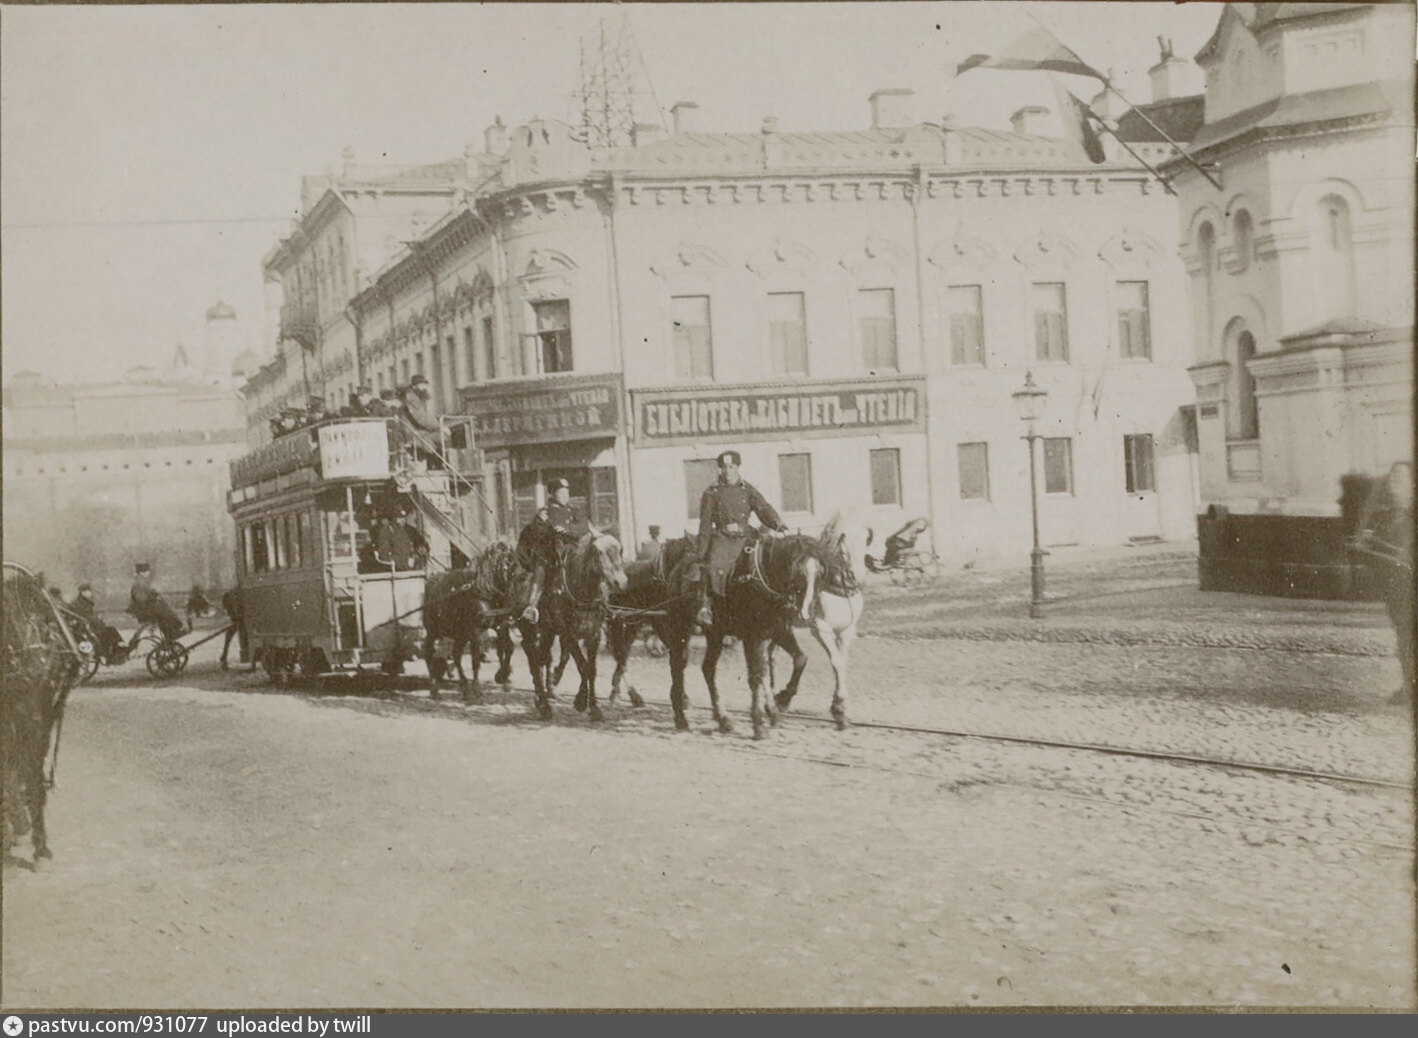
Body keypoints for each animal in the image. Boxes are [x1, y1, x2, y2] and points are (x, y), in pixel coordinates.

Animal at [697, 536, 822, 737]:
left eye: (819, 574)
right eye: (798, 573)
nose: (806, 613)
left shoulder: (778, 631)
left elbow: (800, 659)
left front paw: (781, 701)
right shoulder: (752, 637)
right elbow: (756, 676)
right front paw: (759, 723)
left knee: (710, 668)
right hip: (709, 633)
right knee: (705, 668)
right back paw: (719, 715)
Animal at [771, 513, 867, 731]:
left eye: (866, 540)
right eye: (844, 541)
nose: (856, 578)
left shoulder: (847, 631)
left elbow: (842, 662)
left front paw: (841, 708)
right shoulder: (821, 630)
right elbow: (836, 662)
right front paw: (839, 707)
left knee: (771, 657)